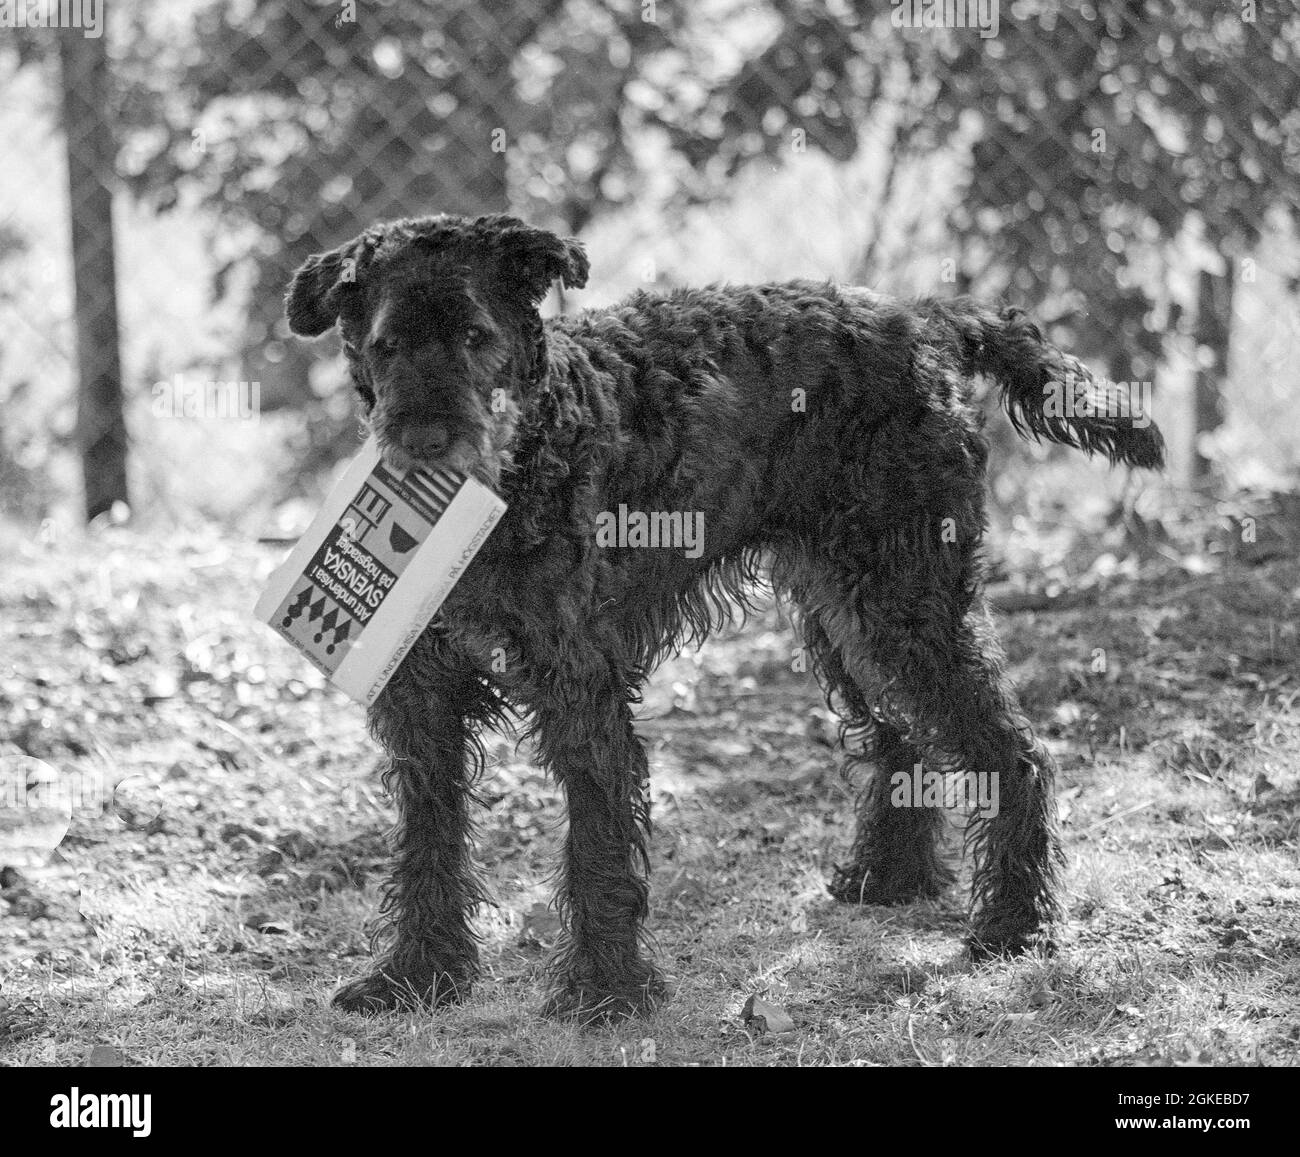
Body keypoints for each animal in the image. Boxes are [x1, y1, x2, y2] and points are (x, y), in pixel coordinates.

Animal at [282, 209, 1159, 1019]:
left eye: (475, 335)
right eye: (387, 345)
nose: (427, 441)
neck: (524, 461)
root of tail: (926, 322)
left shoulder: (581, 691)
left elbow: (597, 844)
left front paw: (604, 990)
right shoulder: (422, 697)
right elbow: (428, 843)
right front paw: (418, 974)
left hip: (906, 603)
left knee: (1013, 751)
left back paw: (1013, 925)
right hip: (850, 611)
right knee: (899, 732)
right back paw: (889, 878)